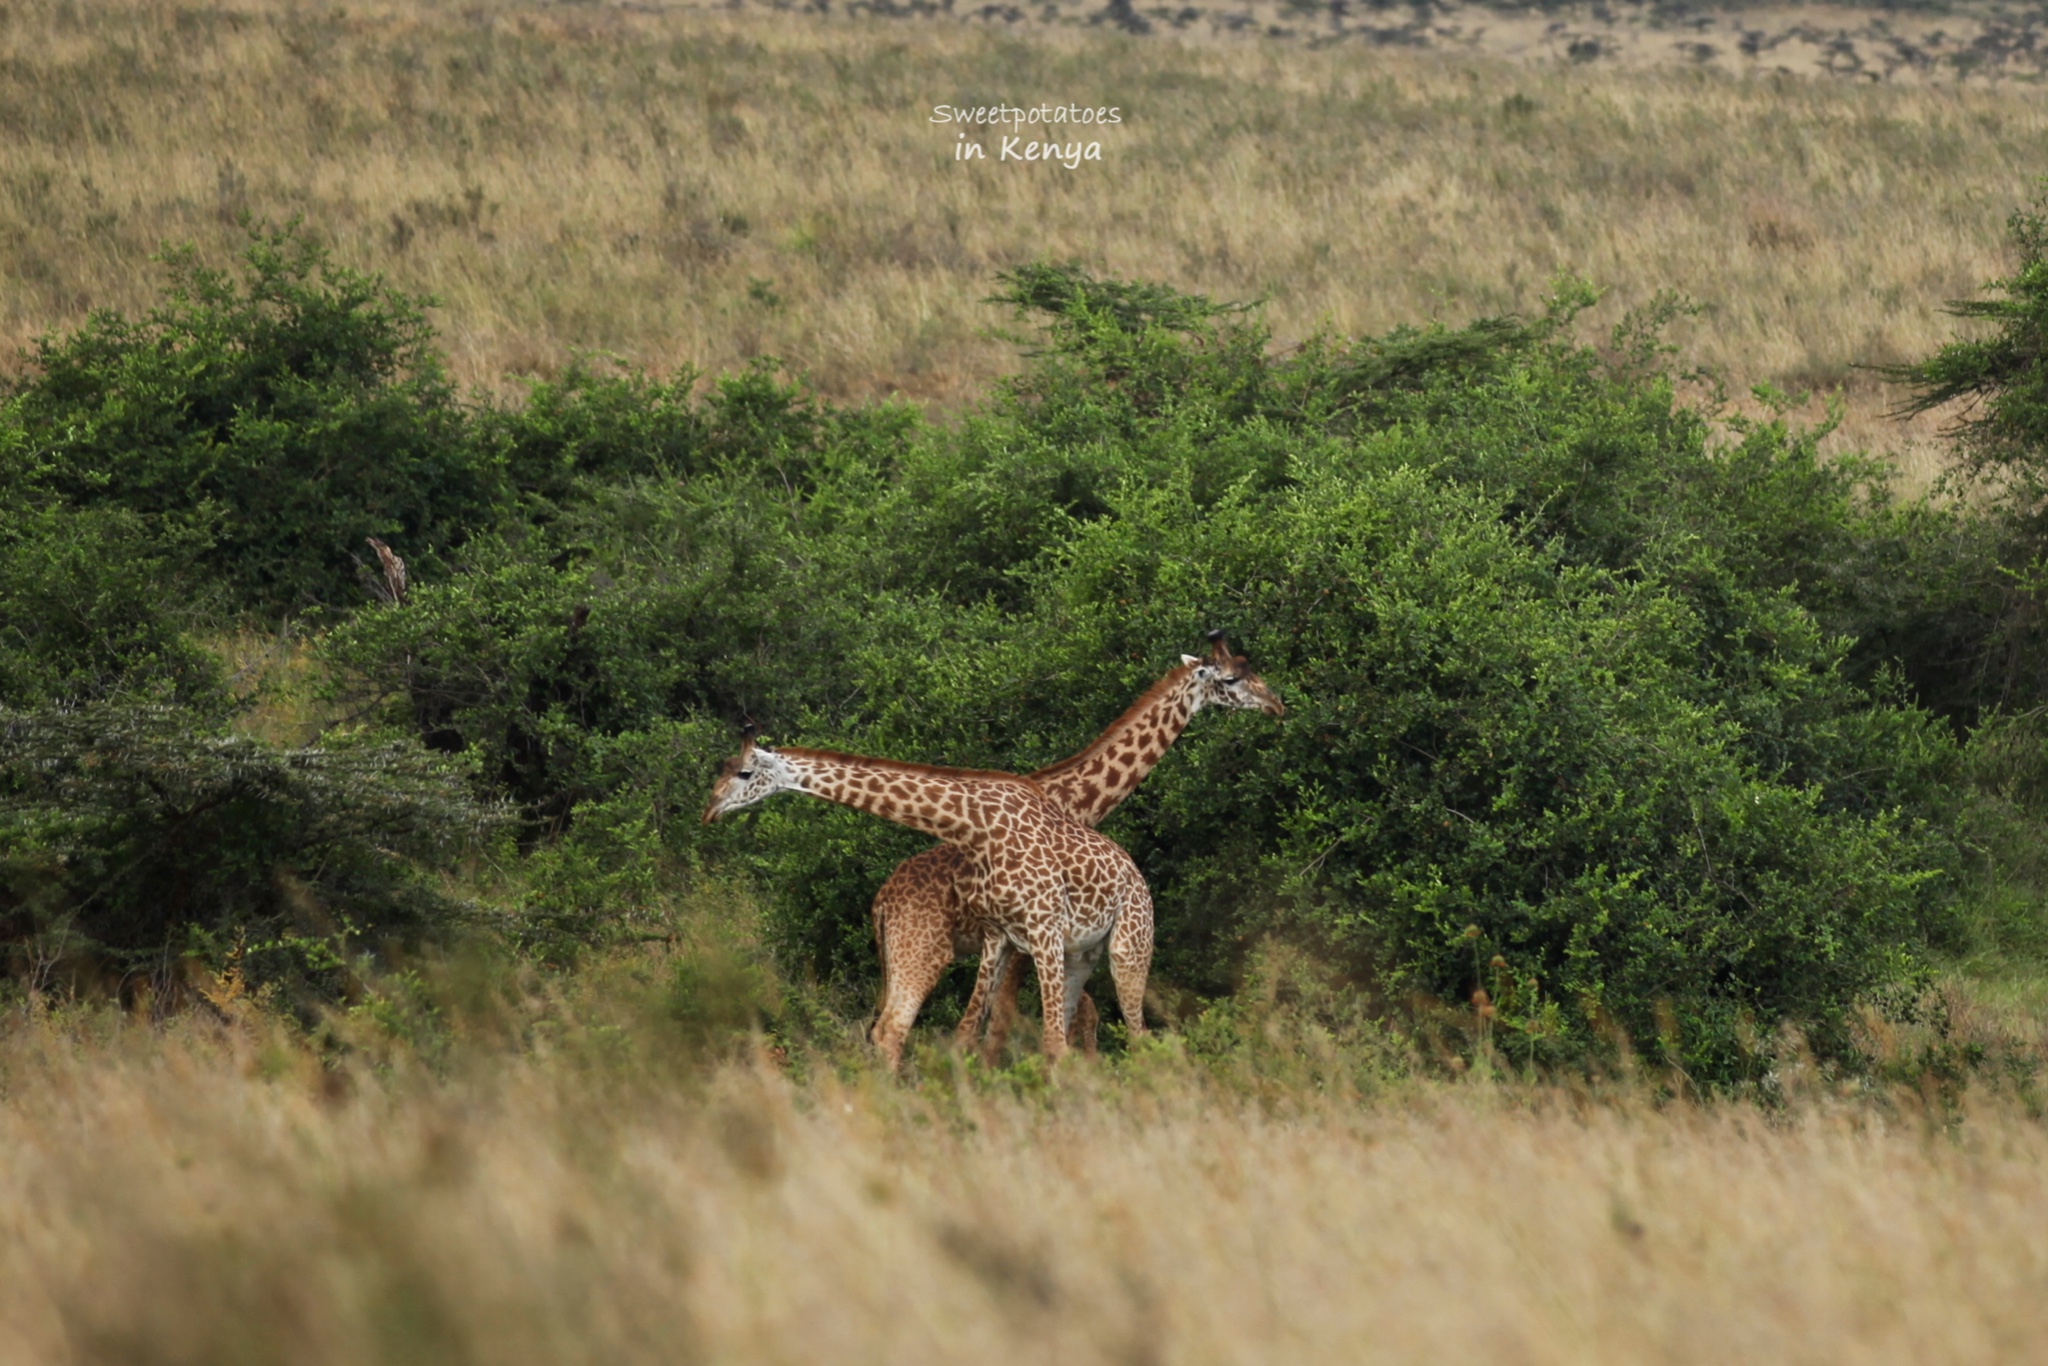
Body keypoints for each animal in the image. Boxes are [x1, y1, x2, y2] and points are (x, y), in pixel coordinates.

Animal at [700, 733, 1155, 1064]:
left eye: (744, 773)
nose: (709, 812)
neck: (978, 825)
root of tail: (1138, 876)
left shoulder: (1043, 932)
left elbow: (1045, 1041)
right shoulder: (1001, 939)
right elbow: (971, 1034)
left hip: (1127, 947)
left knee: (1136, 1033)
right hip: (1080, 956)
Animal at [868, 634, 1286, 1073]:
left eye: (1251, 668)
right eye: (1232, 678)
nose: (1276, 704)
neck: (1076, 800)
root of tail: (882, 902)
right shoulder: (1031, 933)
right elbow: (1013, 1020)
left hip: (903, 954)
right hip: (923, 949)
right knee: (893, 1030)